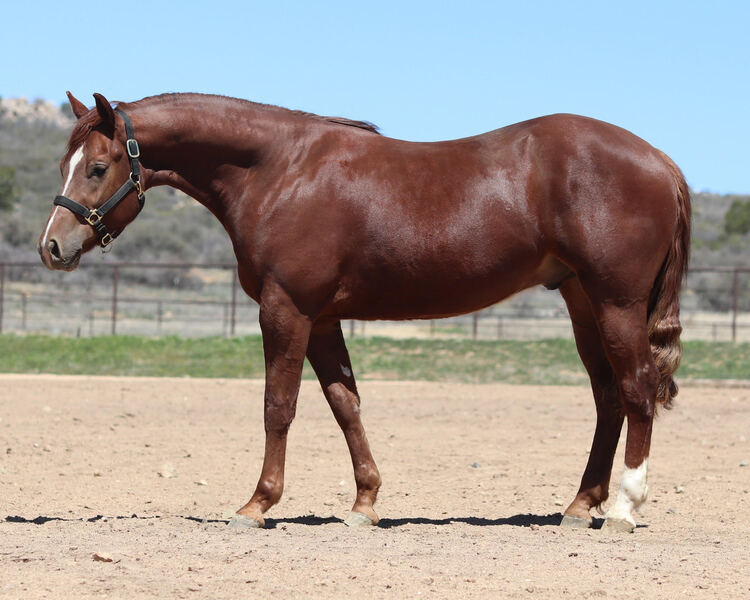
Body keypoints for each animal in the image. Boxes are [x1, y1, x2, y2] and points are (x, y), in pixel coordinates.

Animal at [38, 92, 690, 533]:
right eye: (67, 163)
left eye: (97, 167)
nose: (52, 248)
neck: (280, 170)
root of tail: (660, 160)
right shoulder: (323, 319)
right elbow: (344, 403)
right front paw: (364, 504)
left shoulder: (286, 311)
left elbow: (279, 406)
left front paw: (257, 504)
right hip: (582, 300)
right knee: (607, 396)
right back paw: (579, 506)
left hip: (616, 303)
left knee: (636, 389)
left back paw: (624, 508)